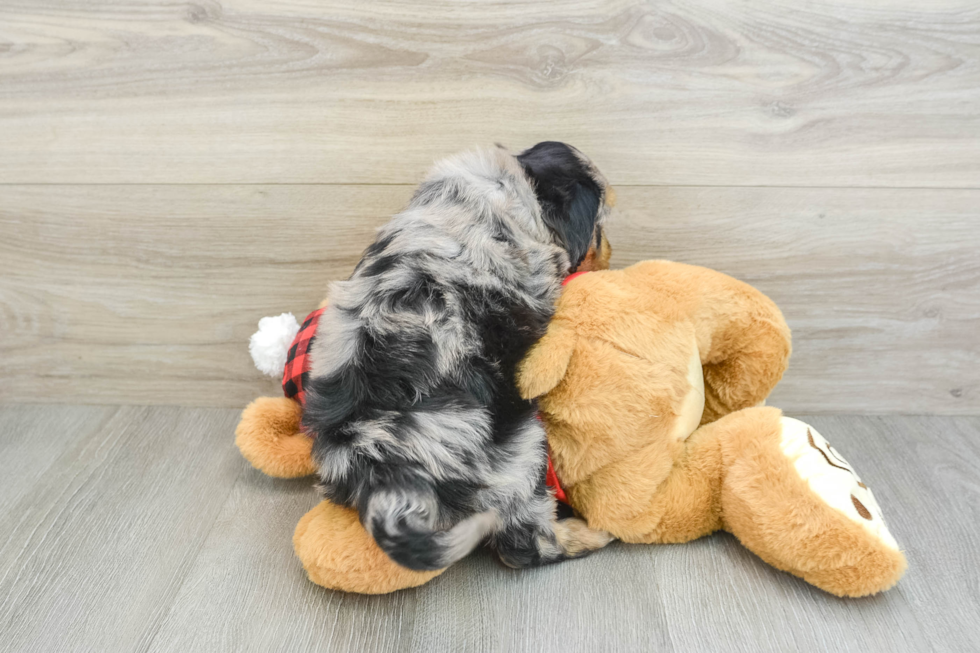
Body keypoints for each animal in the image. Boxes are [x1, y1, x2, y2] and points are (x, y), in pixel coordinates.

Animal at [304, 141, 612, 572]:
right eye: (601, 227)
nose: (611, 258)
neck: (514, 183)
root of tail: (378, 463)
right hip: (519, 448)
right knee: (525, 543)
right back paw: (591, 533)